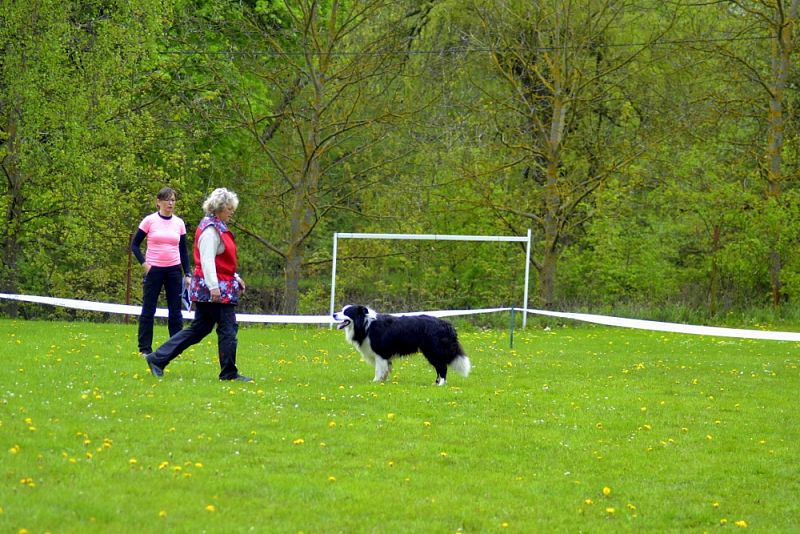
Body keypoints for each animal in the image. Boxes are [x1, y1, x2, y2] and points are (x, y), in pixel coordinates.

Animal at [330, 306, 468, 386]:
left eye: (346, 312)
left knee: (442, 367)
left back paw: (441, 384)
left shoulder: (381, 353)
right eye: (341, 310)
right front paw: (383, 381)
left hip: (433, 350)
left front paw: (375, 381)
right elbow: (386, 369)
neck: (365, 324)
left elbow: (379, 369)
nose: (333, 314)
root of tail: (446, 324)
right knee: (439, 367)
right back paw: (437, 382)